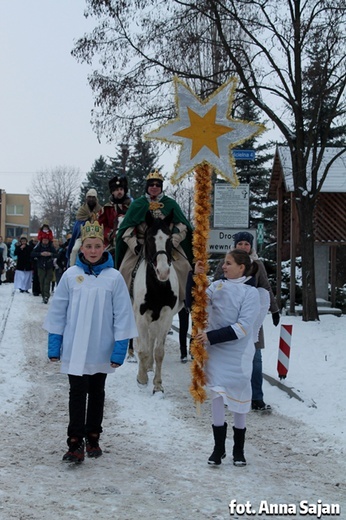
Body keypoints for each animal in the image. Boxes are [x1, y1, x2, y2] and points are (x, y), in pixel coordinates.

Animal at [132, 209, 180, 392]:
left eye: (169, 239)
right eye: (149, 238)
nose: (163, 271)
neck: (157, 287)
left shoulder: (166, 316)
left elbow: (159, 351)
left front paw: (158, 385)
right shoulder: (141, 316)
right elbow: (143, 349)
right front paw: (142, 378)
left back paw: (149, 366)